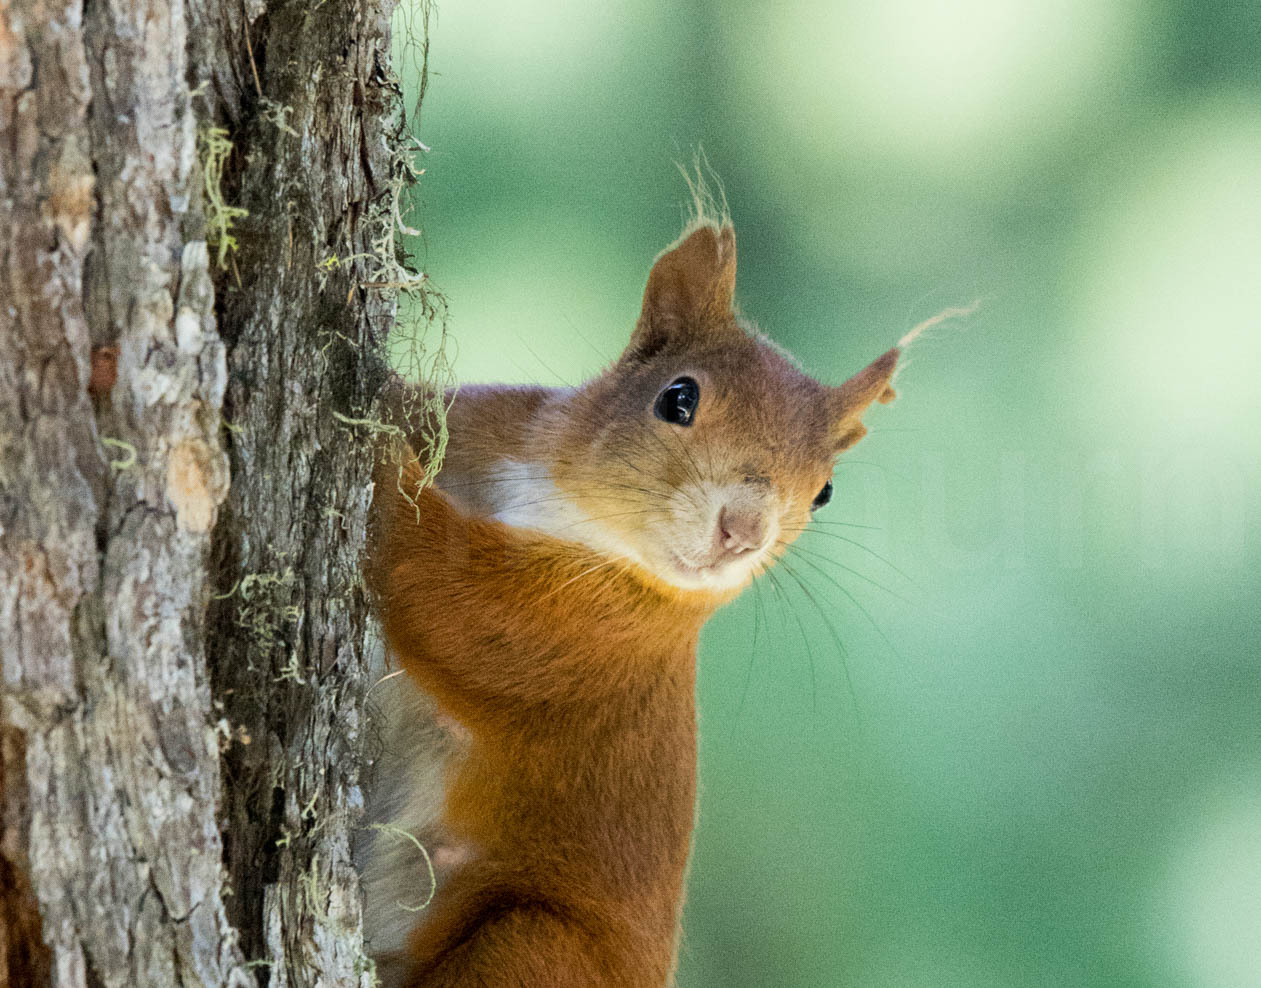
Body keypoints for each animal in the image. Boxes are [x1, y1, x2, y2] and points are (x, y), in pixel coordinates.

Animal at [360, 211, 902, 982]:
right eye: (678, 397)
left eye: (824, 491)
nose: (743, 531)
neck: (566, 507)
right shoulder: (480, 425)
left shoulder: (592, 634)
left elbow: (455, 602)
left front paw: (370, 454)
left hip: (535, 951)